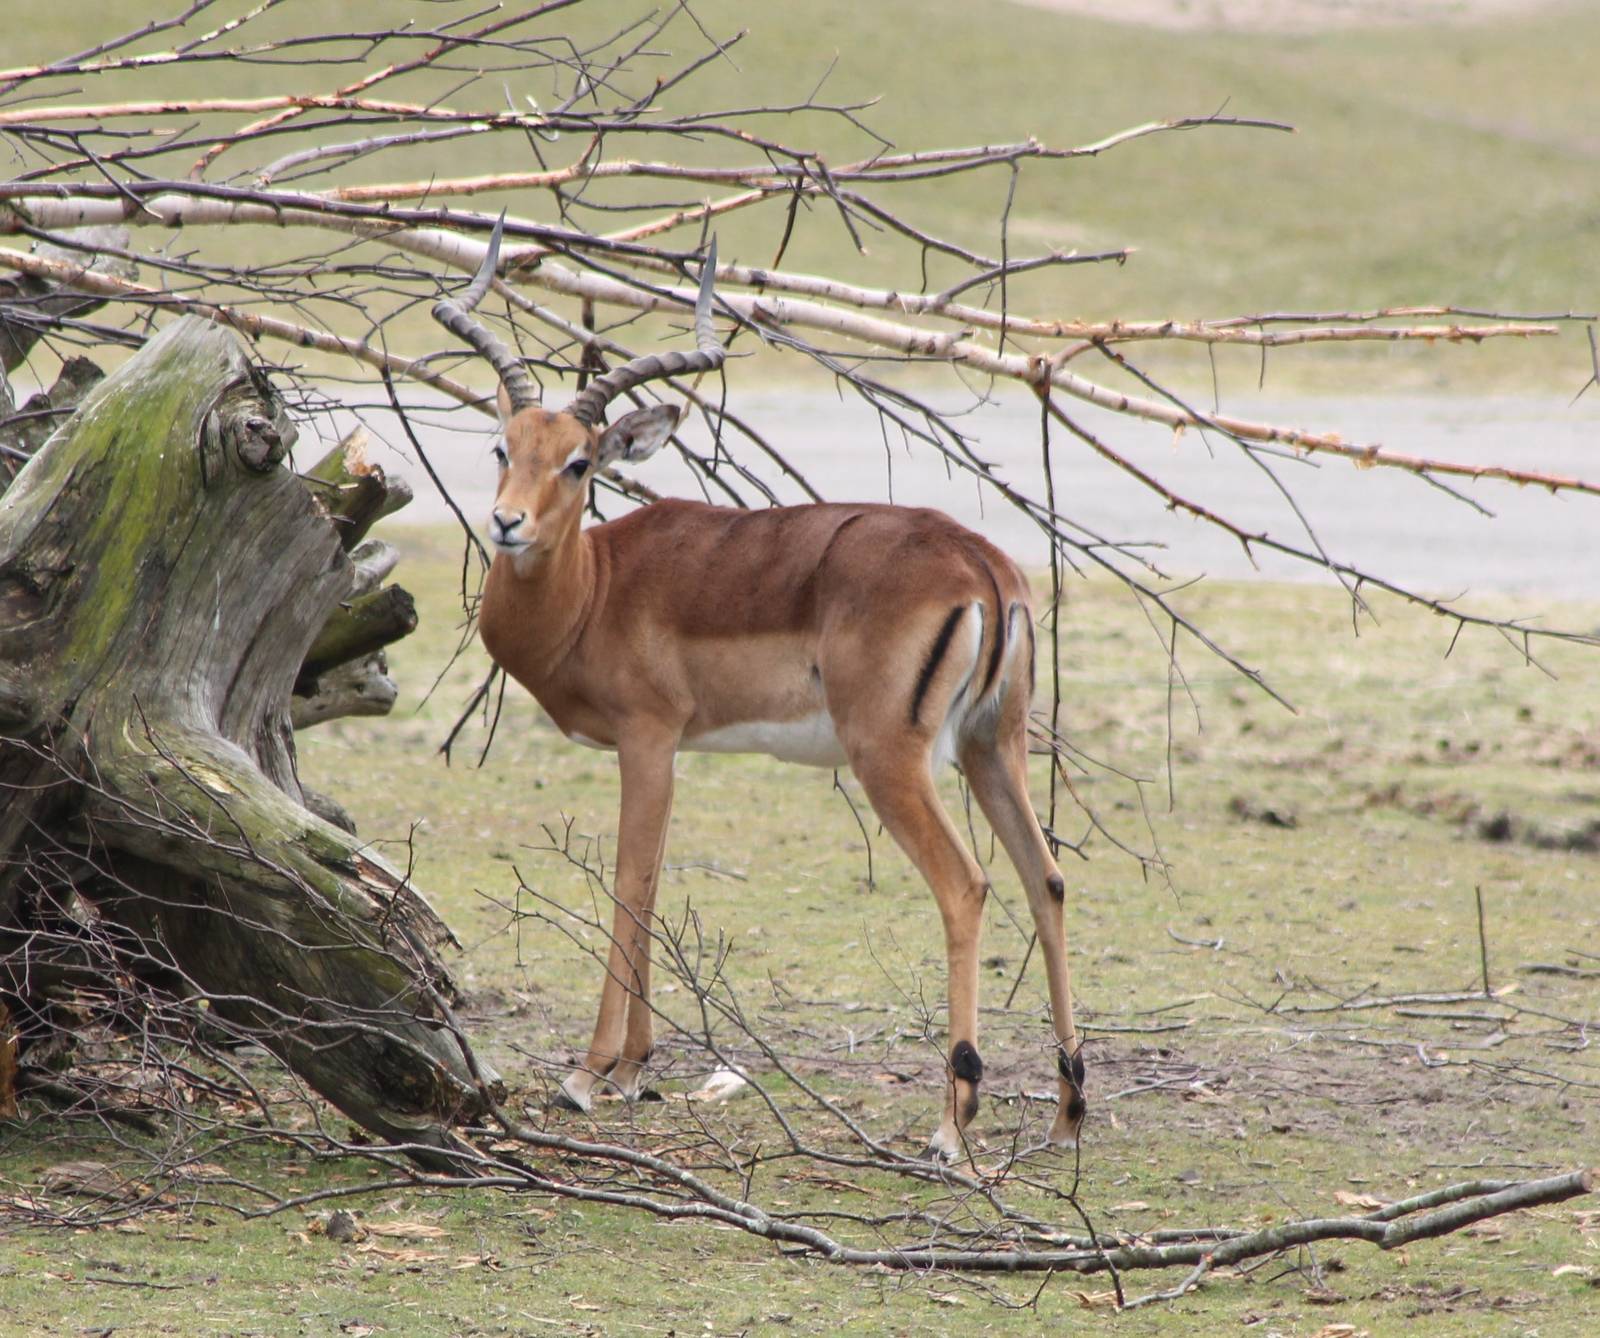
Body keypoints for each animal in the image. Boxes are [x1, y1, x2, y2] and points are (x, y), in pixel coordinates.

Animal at [434, 221, 1085, 1158]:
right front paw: (634, 1070)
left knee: (966, 885)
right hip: (990, 747)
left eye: (580, 462)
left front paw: (587, 1077)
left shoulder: (647, 736)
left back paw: (951, 1125)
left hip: (892, 758)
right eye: (503, 448)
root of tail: (981, 566)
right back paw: (1069, 1109)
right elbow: (654, 879)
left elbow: (628, 881)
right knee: (1048, 877)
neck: (598, 588)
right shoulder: (671, 748)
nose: (505, 522)